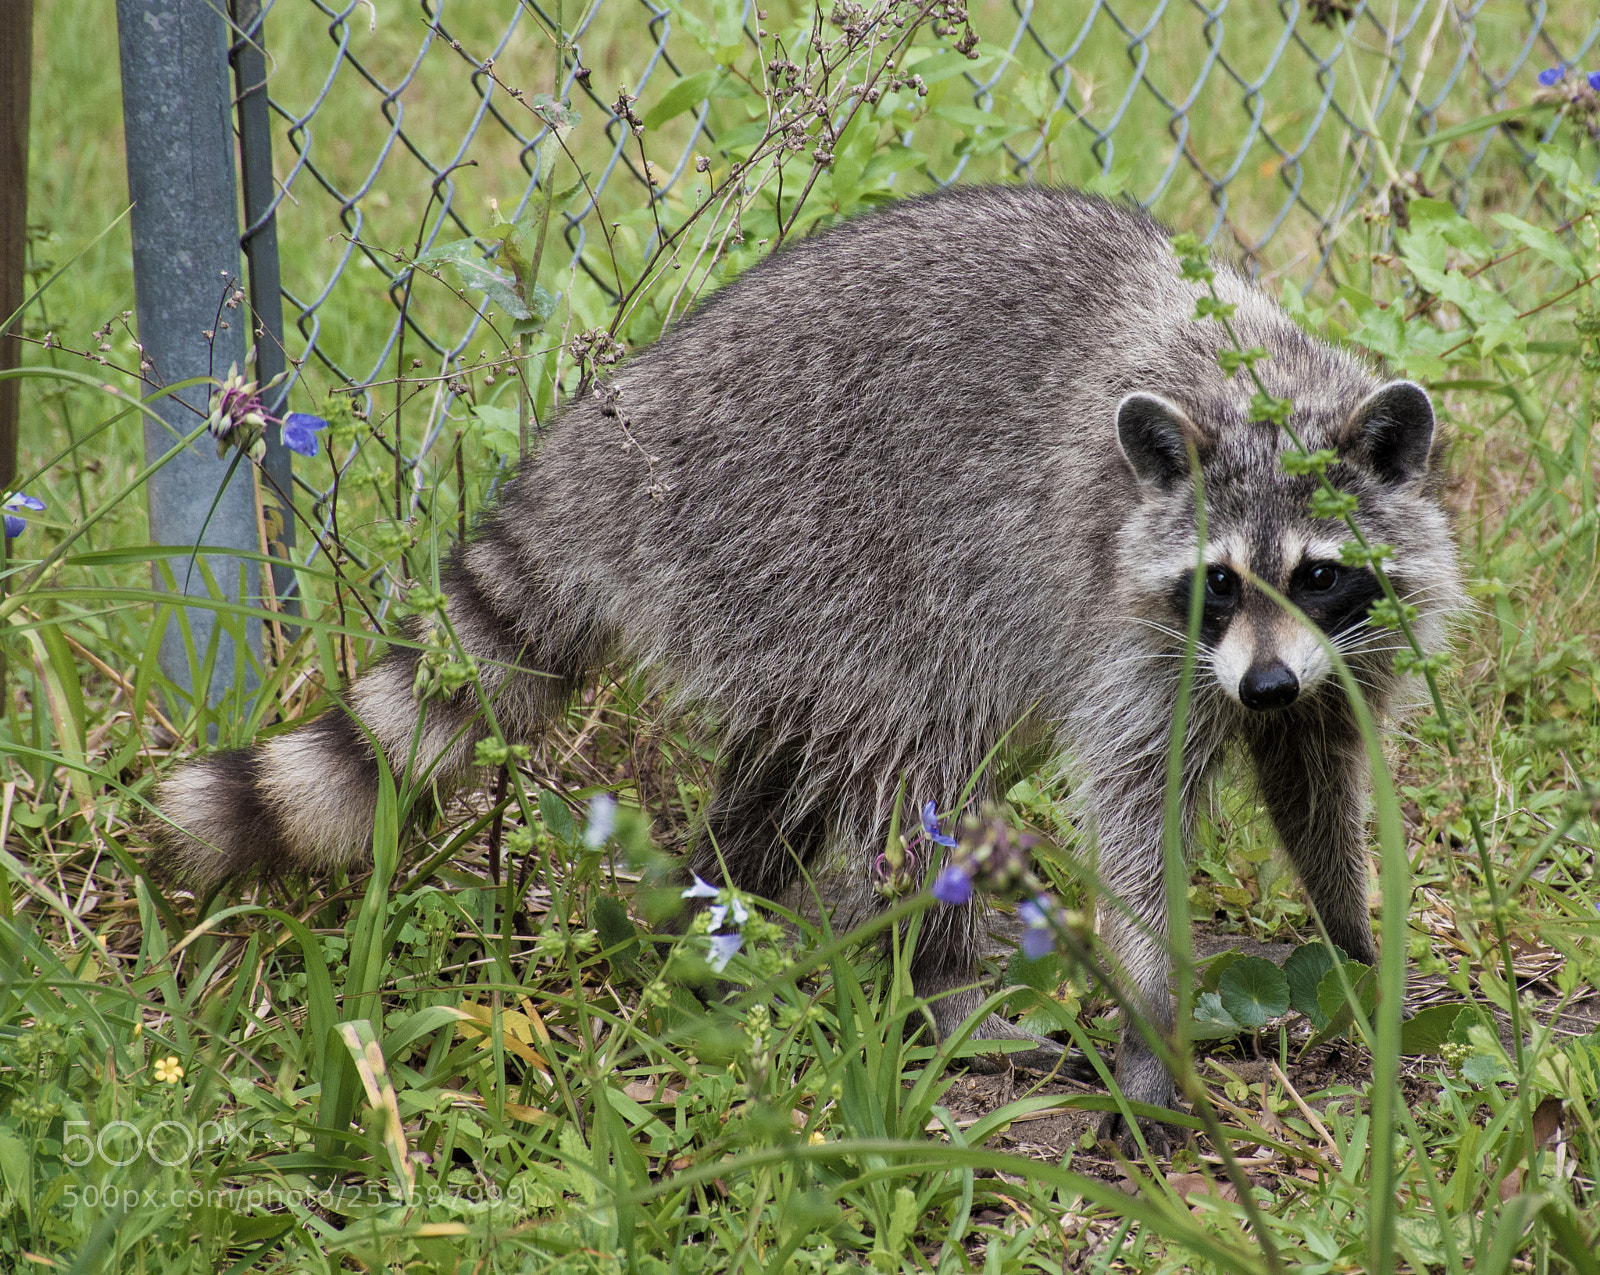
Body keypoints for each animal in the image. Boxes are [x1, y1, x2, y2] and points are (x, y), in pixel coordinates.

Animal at [152, 186, 1461, 1151]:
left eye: (1319, 574)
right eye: (1220, 583)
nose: (1265, 689)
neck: (1256, 381)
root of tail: (612, 429)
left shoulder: (1334, 651)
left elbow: (1319, 776)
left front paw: (1353, 939)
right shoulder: (1127, 628)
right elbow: (1136, 822)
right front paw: (1151, 1019)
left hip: (782, 605)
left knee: (798, 761)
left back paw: (706, 906)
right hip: (816, 546)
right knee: (915, 762)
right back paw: (939, 988)